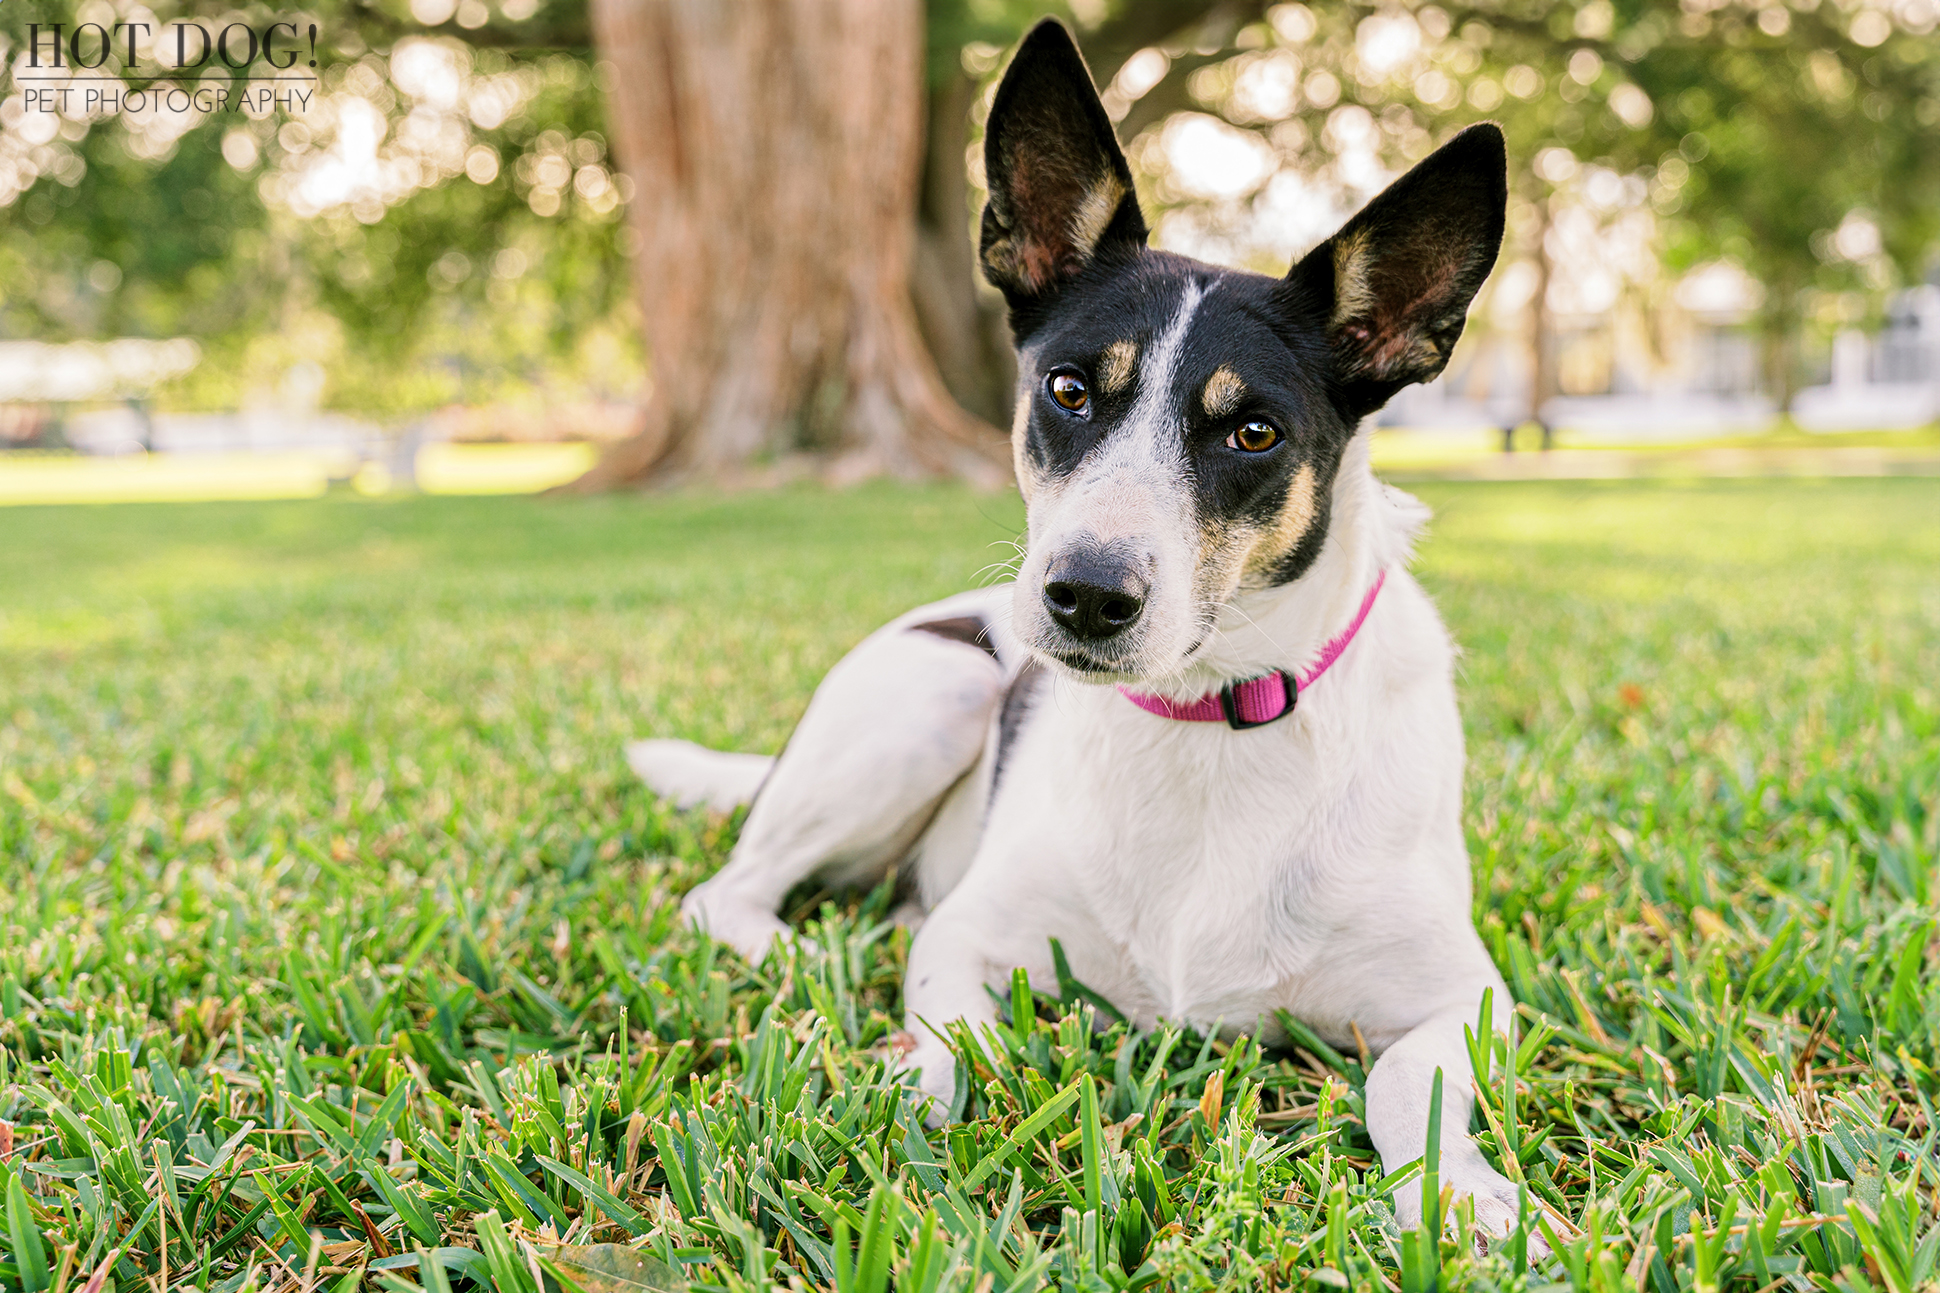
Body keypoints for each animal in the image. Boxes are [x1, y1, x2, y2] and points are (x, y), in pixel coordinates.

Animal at [632, 20, 1528, 1242]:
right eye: (1066, 389)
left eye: (1252, 431)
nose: (1085, 596)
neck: (1209, 719)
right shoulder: (969, 937)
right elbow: (953, 1034)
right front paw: (903, 1104)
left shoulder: (1465, 999)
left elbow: (1402, 1082)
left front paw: (1465, 1197)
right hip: (931, 698)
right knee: (727, 891)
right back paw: (810, 953)